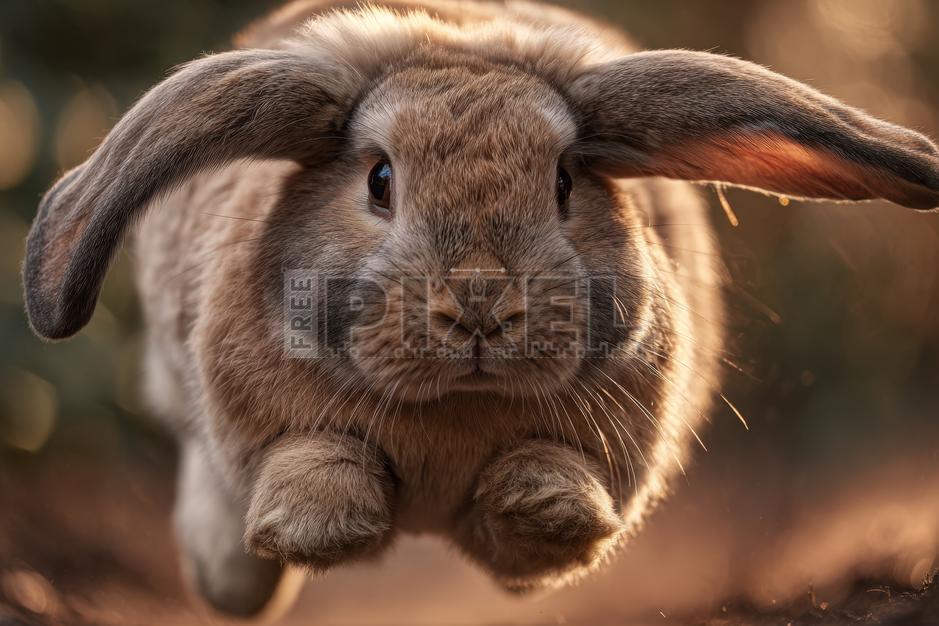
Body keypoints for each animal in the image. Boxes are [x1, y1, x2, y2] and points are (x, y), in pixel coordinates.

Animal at [21, 0, 939, 617]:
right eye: (378, 179)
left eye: (564, 181)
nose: (479, 309)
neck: (454, 409)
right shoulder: (256, 425)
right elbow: (313, 457)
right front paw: (324, 524)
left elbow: (555, 489)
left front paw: (544, 501)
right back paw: (231, 577)